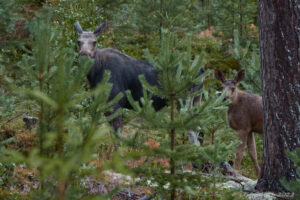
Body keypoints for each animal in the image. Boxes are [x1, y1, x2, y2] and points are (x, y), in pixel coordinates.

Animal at [75, 21, 205, 138]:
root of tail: (203, 70)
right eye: (78, 41)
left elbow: (118, 136)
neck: (95, 75)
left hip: (183, 99)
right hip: (196, 99)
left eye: (95, 42)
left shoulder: (116, 104)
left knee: (192, 130)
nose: (84, 56)